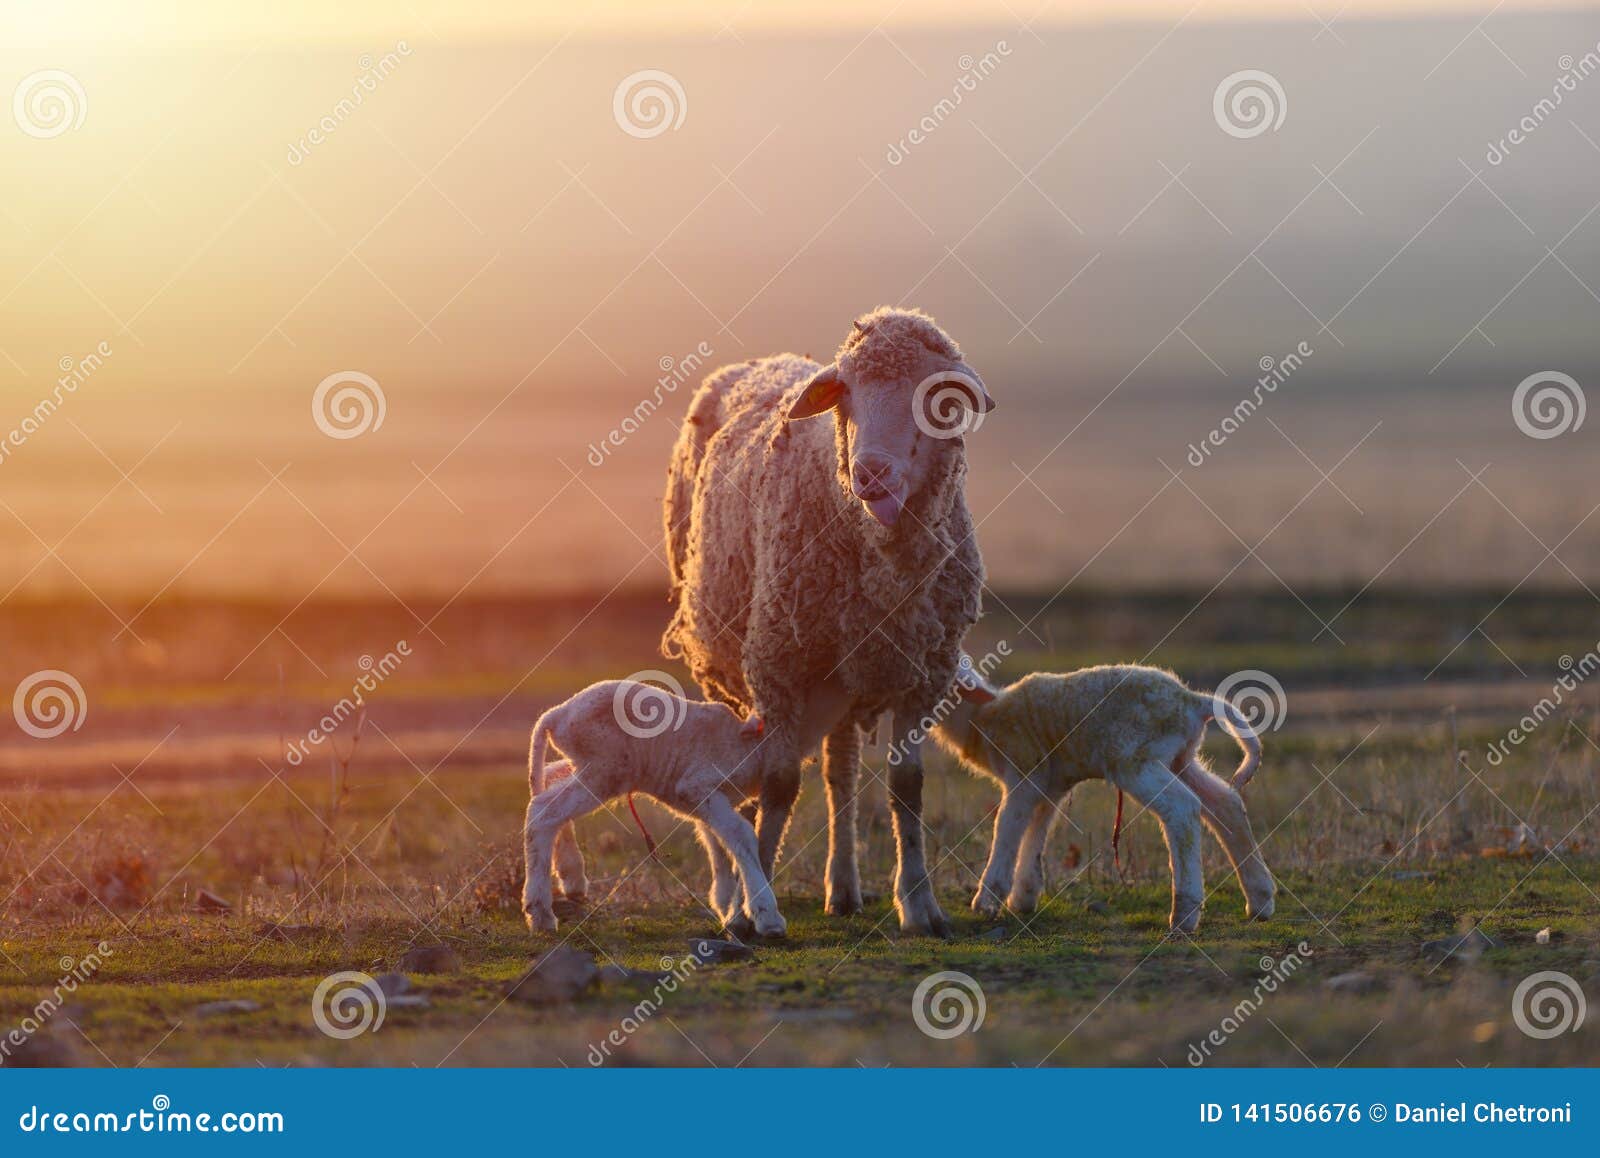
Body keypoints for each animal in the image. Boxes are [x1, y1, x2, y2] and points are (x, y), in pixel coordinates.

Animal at [521, 678, 789, 937]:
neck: (748, 745)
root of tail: (556, 715)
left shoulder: (708, 802)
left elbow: (717, 842)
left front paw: (726, 906)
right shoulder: (697, 786)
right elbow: (741, 835)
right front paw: (767, 917)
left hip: (588, 766)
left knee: (549, 779)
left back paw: (571, 877)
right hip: (603, 770)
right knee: (544, 810)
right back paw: (541, 914)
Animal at [661, 307, 993, 936]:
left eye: (933, 398)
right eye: (848, 395)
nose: (871, 472)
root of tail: (766, 360)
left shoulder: (926, 673)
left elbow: (907, 788)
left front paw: (920, 904)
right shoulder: (778, 665)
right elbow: (778, 784)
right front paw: (754, 908)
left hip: (844, 670)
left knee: (841, 774)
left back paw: (843, 888)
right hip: (731, 660)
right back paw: (732, 890)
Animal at [929, 662, 1275, 934]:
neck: (980, 718)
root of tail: (1195, 701)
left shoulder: (1024, 773)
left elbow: (1006, 827)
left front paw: (987, 901)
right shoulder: (1050, 785)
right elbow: (1035, 833)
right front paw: (1023, 897)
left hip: (1135, 759)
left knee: (1183, 808)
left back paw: (1184, 915)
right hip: (1181, 759)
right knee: (1225, 803)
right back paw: (1259, 900)